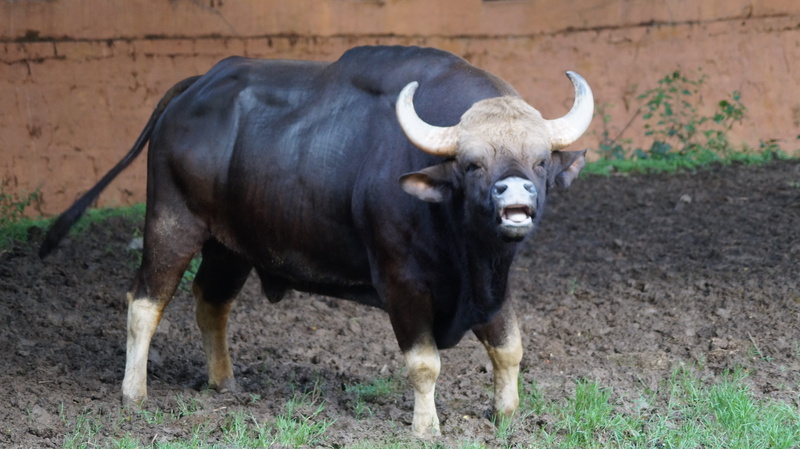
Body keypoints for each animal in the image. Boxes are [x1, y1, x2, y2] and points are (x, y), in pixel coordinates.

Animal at [40, 45, 593, 437]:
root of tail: (198, 83)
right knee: (144, 303)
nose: (514, 193)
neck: (465, 246)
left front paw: (508, 416)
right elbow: (425, 363)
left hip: (230, 245)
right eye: (472, 163)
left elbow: (509, 348)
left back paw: (224, 382)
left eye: (540, 160)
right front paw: (426, 427)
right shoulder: (402, 284)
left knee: (210, 301)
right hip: (171, 221)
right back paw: (134, 394)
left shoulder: (494, 282)